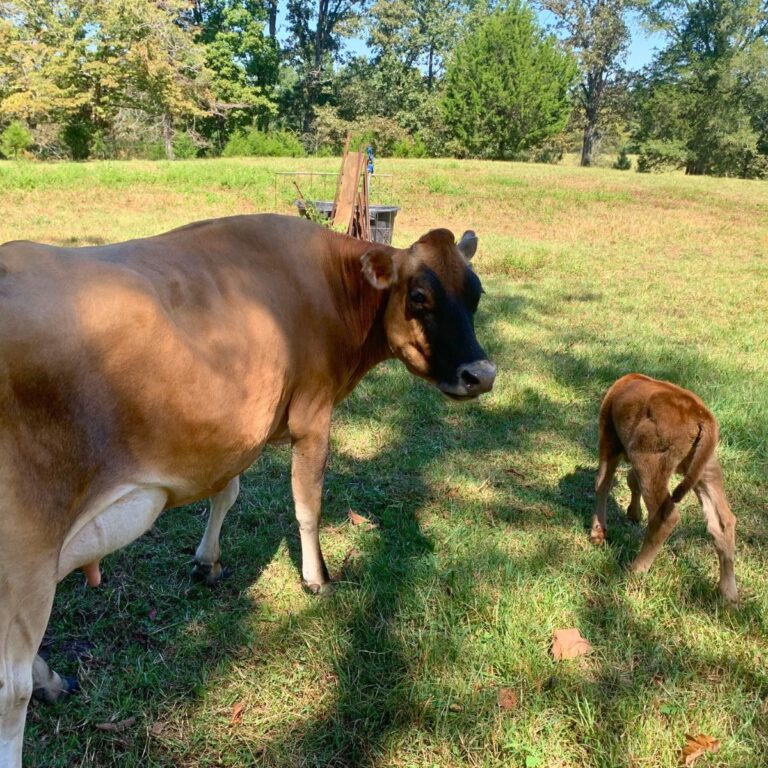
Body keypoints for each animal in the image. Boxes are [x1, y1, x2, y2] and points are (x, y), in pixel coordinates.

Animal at [0, 214, 496, 766]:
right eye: (419, 297)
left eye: (475, 293)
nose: (481, 374)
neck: (330, 286)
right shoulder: (312, 414)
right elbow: (307, 503)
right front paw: (316, 577)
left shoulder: (237, 427)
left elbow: (227, 492)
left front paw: (207, 561)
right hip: (25, 542)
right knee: (10, 690)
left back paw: (51, 678)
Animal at [591, 373, 737, 603]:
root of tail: (702, 417)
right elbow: (631, 481)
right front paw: (633, 513)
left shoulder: (609, 438)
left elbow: (602, 483)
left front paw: (597, 533)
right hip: (706, 469)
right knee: (723, 522)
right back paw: (729, 594)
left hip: (649, 461)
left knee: (665, 515)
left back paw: (634, 571)